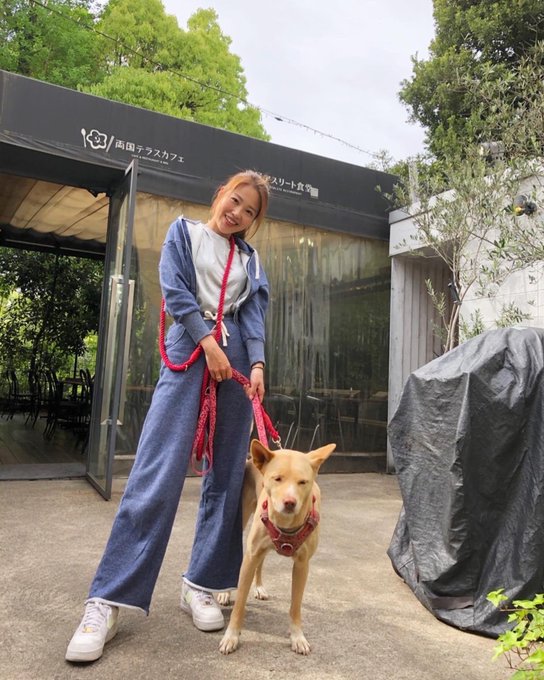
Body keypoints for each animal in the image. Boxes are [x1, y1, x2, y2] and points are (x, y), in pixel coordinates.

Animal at [219, 438, 336, 655]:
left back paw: (259, 587)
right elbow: (240, 604)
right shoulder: (250, 556)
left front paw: (297, 637)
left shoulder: (302, 565)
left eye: (303, 482)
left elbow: (295, 606)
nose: (290, 502)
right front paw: (231, 636)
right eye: (277, 479)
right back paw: (224, 592)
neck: (286, 524)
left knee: (261, 564)